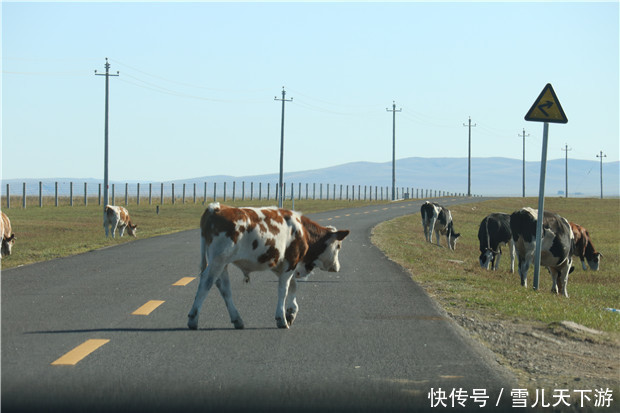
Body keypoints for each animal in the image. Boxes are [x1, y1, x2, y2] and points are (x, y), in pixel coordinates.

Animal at [186, 201, 348, 330]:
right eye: (339, 246)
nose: (337, 267)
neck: (302, 230)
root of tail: (215, 207)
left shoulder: (280, 265)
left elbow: (293, 286)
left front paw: (291, 312)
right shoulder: (291, 262)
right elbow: (284, 289)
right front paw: (282, 318)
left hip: (223, 264)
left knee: (224, 288)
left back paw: (237, 319)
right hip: (218, 260)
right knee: (206, 282)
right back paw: (193, 319)